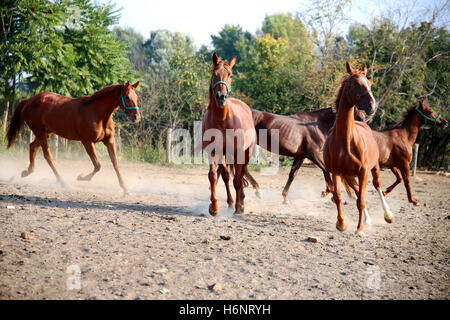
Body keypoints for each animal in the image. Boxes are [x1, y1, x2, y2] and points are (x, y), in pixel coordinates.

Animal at [6, 80, 140, 195]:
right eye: (127, 97)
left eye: (136, 97)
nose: (137, 117)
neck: (97, 114)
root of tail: (28, 100)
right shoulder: (87, 142)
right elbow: (97, 165)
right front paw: (81, 177)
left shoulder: (109, 141)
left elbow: (115, 164)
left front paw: (126, 189)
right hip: (39, 132)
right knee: (48, 156)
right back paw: (63, 183)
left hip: (46, 132)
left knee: (32, 146)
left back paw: (26, 172)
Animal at [201, 52, 255, 216]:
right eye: (214, 74)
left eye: (230, 75)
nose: (221, 97)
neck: (222, 120)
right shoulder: (213, 152)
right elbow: (213, 176)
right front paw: (213, 207)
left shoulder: (239, 152)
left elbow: (237, 180)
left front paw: (238, 208)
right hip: (224, 155)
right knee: (225, 175)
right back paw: (231, 202)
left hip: (246, 153)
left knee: (240, 175)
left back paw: (240, 203)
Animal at [324, 61, 394, 234]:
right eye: (355, 83)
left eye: (369, 83)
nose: (372, 106)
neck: (346, 140)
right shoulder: (337, 172)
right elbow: (339, 197)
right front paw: (341, 223)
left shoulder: (363, 171)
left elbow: (361, 200)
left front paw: (360, 229)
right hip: (349, 176)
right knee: (357, 191)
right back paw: (368, 219)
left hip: (374, 168)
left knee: (377, 186)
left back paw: (387, 215)